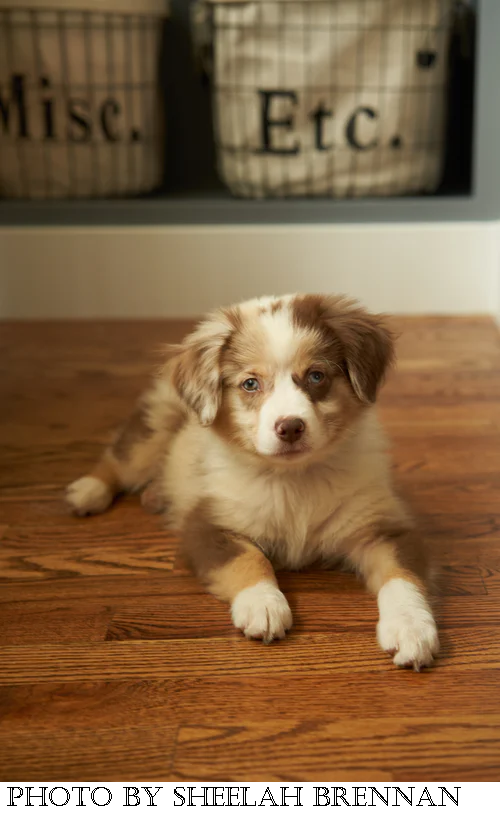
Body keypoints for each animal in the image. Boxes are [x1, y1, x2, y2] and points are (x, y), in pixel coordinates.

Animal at [66, 296, 440, 668]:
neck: (294, 479)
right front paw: (263, 604)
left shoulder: (383, 528)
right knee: (119, 459)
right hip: (154, 427)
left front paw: (411, 628)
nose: (290, 427)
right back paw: (87, 492)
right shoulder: (209, 525)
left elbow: (402, 577)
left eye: (316, 376)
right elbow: (248, 557)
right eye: (250, 384)